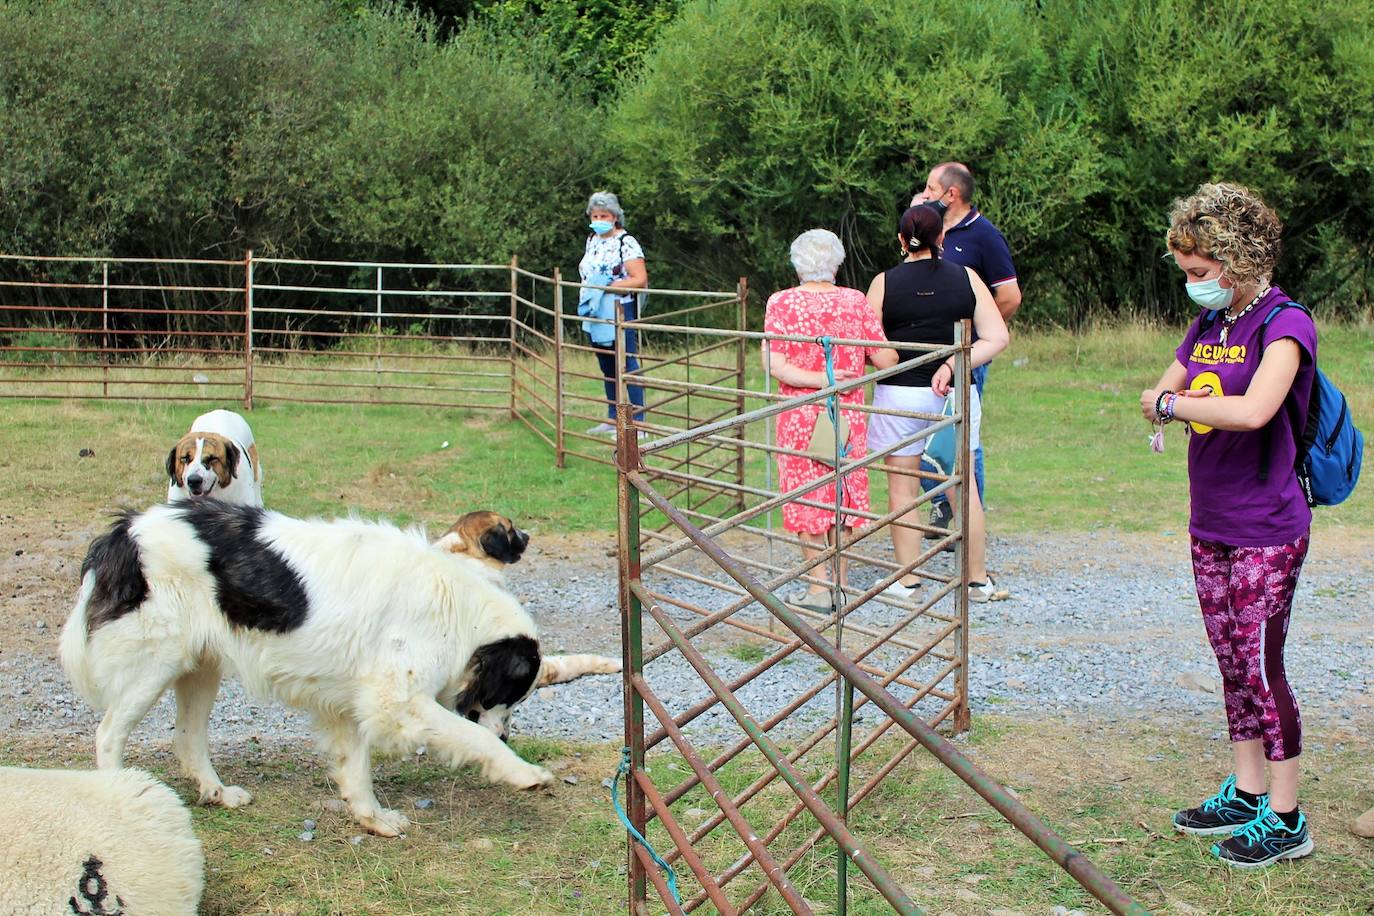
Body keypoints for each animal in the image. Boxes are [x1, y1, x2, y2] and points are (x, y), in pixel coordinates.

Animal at [59, 502, 552, 840]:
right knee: (108, 735)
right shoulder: (397, 703)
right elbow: (473, 737)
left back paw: (218, 793)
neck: (456, 607)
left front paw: (372, 818)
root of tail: (126, 531)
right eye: (513, 695)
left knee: (187, 737)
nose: (509, 735)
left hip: (200, 667)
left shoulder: (350, 704)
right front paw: (524, 772)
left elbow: (356, 769)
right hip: (153, 666)